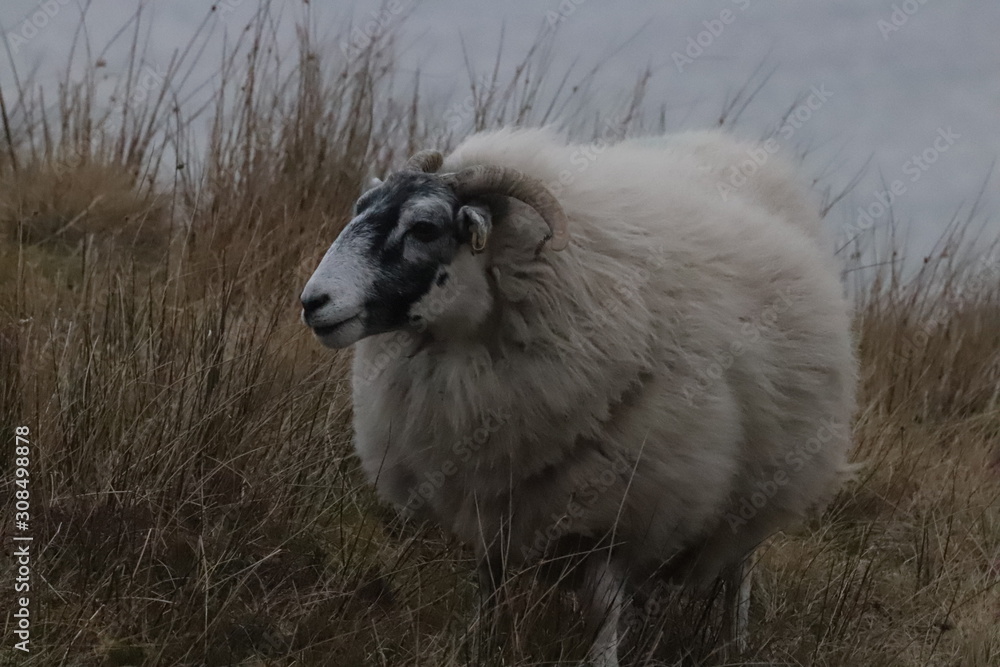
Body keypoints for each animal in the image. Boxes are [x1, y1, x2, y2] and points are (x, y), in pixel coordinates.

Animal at [300, 127, 857, 665]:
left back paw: (732, 643)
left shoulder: (625, 508)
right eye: (361, 209)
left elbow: (604, 609)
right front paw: (480, 645)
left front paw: (603, 657)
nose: (312, 302)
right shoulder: (493, 496)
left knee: (739, 568)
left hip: (765, 477)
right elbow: (489, 585)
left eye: (424, 228)